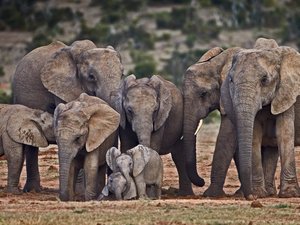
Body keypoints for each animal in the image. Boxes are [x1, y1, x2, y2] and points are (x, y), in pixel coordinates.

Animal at [220, 45, 300, 199]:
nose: (250, 197)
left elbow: (284, 134)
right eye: (231, 80)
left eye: (264, 80)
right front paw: (258, 194)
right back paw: (268, 193)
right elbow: (255, 135)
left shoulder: (287, 93)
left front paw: (290, 194)